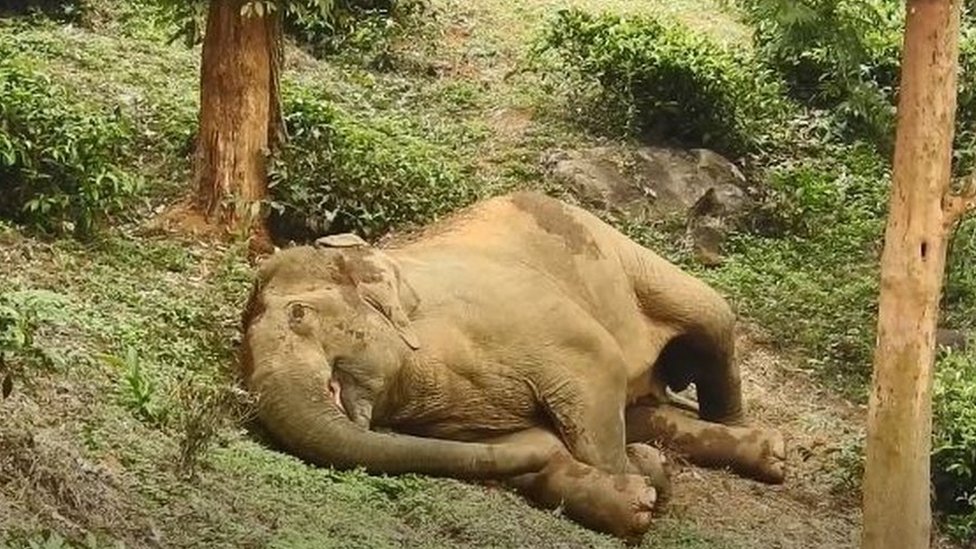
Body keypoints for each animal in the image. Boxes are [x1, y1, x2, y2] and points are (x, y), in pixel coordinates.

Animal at [242, 191, 784, 540]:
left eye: (299, 314)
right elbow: (523, 444)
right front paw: (641, 491)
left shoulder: (523, 315)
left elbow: (598, 368)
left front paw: (649, 480)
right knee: (645, 412)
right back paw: (757, 450)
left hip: (631, 257)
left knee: (712, 323)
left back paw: (759, 445)